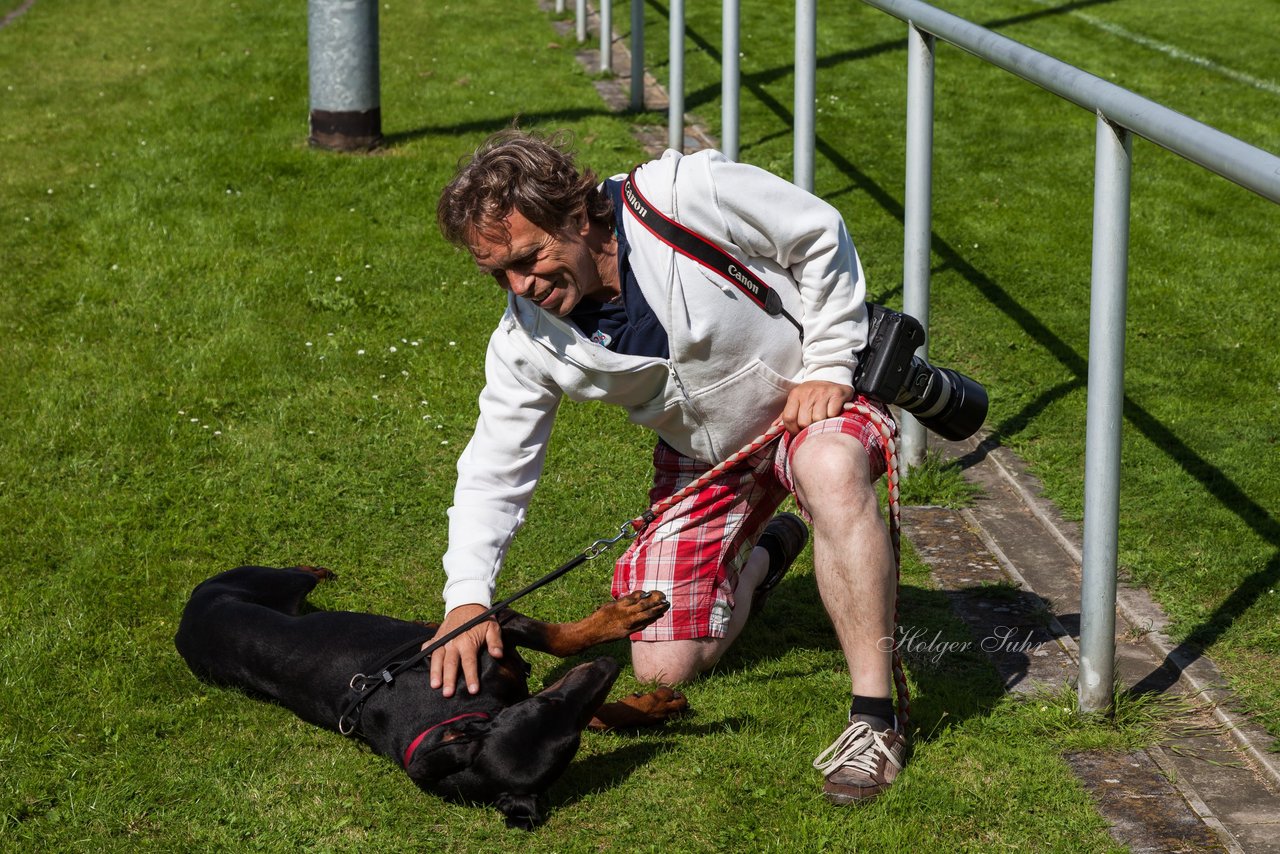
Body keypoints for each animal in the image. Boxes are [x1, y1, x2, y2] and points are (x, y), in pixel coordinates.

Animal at [177, 568, 691, 829]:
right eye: (548, 715)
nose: (609, 669)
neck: (451, 721)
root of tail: (184, 627)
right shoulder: (490, 636)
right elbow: (567, 650)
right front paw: (630, 633)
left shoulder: (485, 633)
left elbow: (562, 646)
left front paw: (647, 702)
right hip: (260, 584)